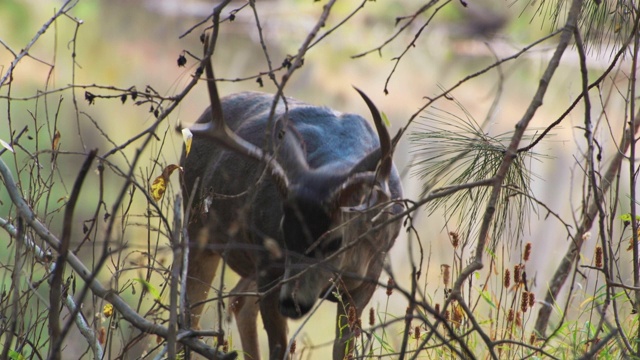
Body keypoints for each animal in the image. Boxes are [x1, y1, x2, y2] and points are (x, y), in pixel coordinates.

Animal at [181, 52, 400, 358]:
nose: (292, 303)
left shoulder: (369, 276)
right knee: (192, 312)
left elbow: (342, 348)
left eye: (334, 241)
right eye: (285, 232)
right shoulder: (269, 266)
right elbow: (279, 347)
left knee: (237, 301)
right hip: (198, 225)